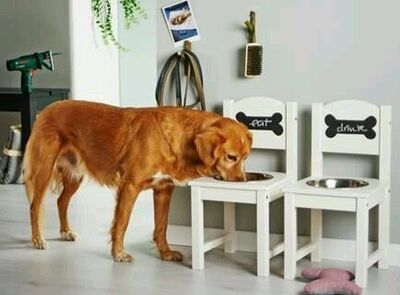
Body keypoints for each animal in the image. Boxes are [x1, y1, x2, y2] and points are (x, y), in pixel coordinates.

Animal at [23, 100, 252, 262]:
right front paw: (118, 254)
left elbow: (162, 226)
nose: (242, 181)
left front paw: (166, 254)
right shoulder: (130, 186)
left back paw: (65, 232)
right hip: (44, 170)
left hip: (75, 175)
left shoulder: (163, 189)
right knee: (34, 207)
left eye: (245, 157)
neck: (176, 139)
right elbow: (122, 223)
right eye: (231, 157)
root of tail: (46, 109)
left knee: (61, 201)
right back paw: (37, 239)